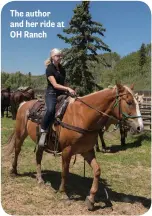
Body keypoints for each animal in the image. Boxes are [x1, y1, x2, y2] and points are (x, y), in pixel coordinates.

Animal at [5, 83, 144, 210]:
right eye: (129, 102)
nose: (140, 127)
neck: (83, 116)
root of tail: (24, 104)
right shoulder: (67, 151)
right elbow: (65, 172)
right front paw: (62, 193)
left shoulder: (87, 151)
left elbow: (97, 170)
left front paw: (91, 199)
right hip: (20, 134)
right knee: (17, 150)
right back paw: (13, 171)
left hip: (40, 142)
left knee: (38, 156)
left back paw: (40, 179)